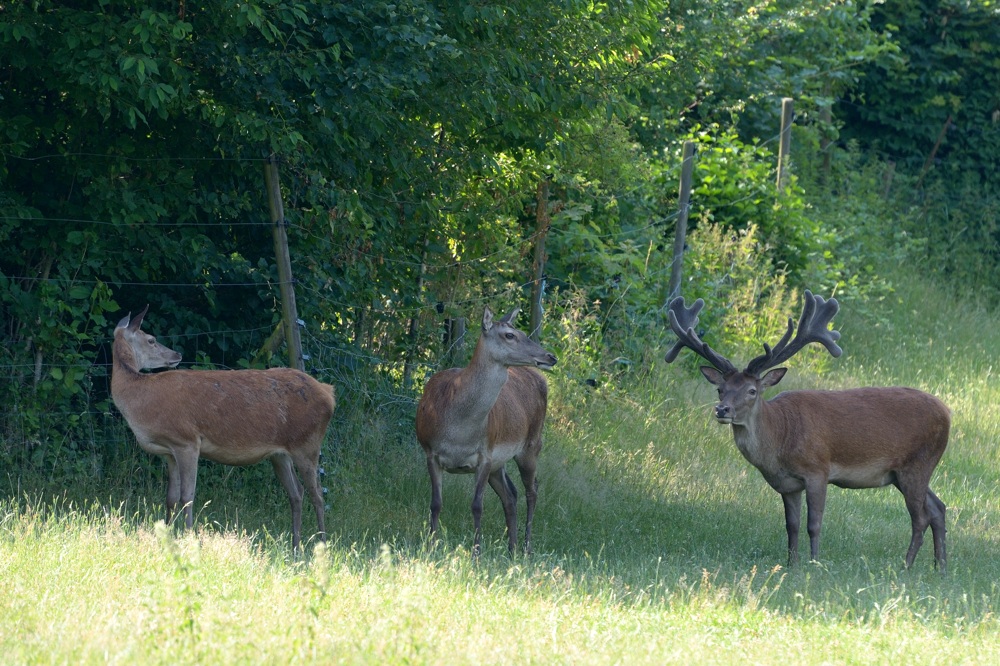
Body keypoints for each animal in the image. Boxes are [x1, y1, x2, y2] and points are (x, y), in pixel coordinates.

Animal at [111, 304, 334, 548]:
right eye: (151, 340)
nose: (177, 355)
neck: (140, 401)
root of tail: (329, 393)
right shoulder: (169, 452)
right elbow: (170, 497)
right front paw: (167, 534)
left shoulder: (187, 440)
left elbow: (187, 497)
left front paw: (189, 537)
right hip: (280, 454)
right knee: (297, 493)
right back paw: (295, 546)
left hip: (308, 443)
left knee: (318, 494)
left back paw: (322, 543)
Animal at [412, 308, 556, 556]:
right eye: (510, 335)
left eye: (522, 332)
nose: (550, 357)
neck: (458, 429)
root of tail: (540, 379)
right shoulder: (430, 452)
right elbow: (436, 503)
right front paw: (430, 546)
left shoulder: (485, 455)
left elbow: (477, 505)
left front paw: (476, 552)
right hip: (500, 463)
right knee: (511, 494)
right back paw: (512, 548)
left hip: (532, 444)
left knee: (532, 489)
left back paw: (526, 547)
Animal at [668, 292, 948, 572]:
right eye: (720, 389)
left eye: (752, 390)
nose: (722, 409)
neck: (781, 438)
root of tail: (947, 412)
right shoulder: (788, 485)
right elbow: (791, 525)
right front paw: (791, 563)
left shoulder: (817, 470)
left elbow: (814, 523)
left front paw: (815, 563)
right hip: (903, 472)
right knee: (938, 507)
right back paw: (940, 567)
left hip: (918, 462)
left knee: (920, 517)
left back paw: (906, 566)